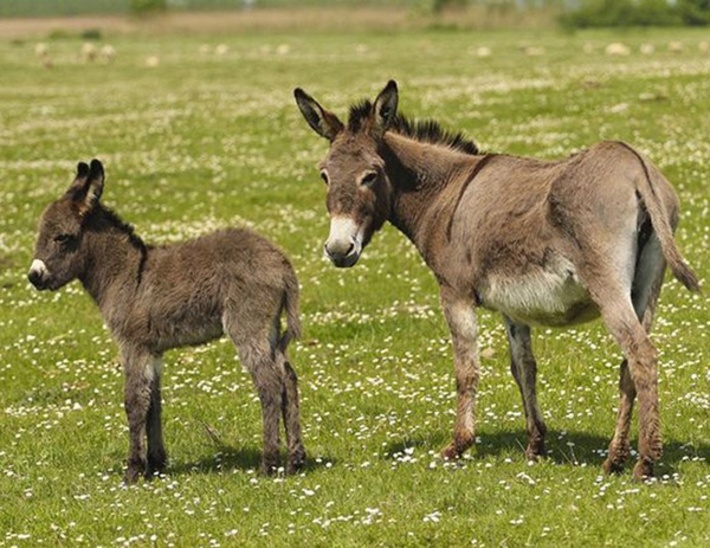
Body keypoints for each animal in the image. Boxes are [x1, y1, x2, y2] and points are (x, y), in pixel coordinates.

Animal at [29, 159, 306, 484]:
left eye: (61, 237)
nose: (34, 276)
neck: (127, 274)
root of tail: (281, 262)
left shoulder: (133, 345)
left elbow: (134, 402)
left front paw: (133, 470)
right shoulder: (153, 350)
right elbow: (153, 403)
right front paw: (155, 465)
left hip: (247, 326)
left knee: (269, 383)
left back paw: (269, 463)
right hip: (270, 328)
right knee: (287, 377)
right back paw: (295, 461)